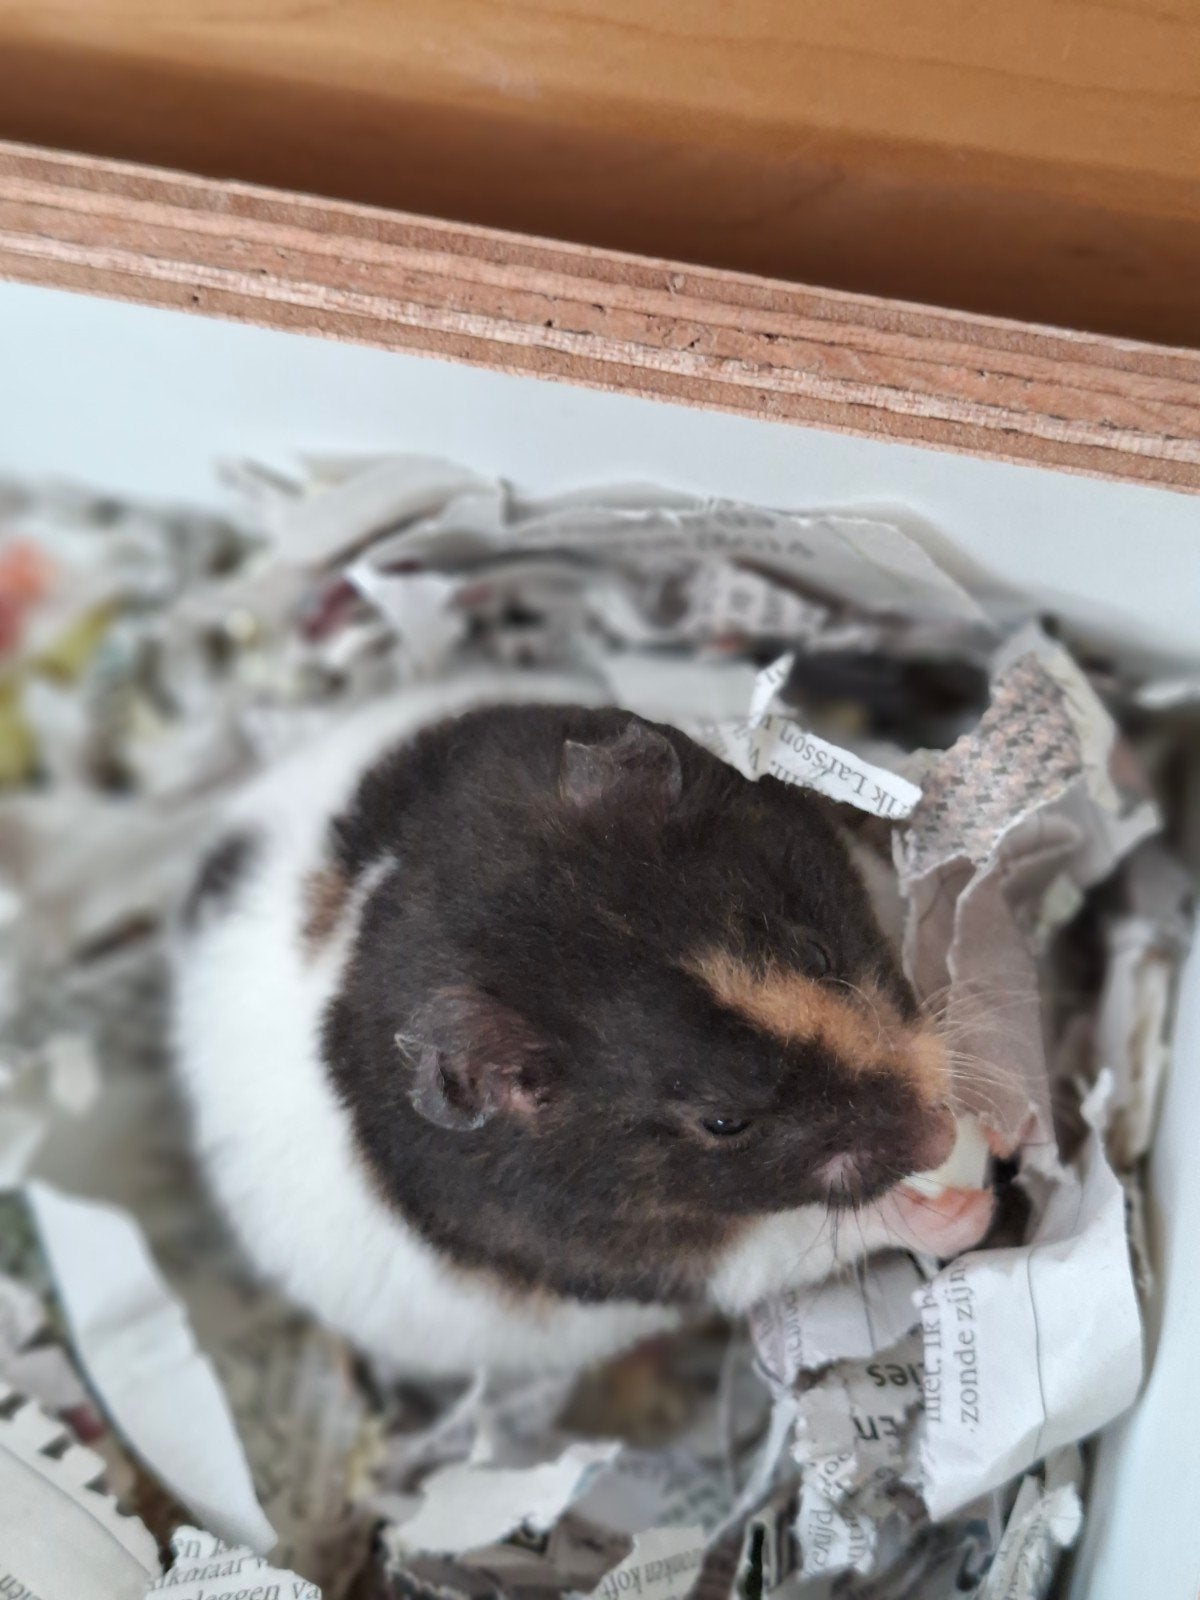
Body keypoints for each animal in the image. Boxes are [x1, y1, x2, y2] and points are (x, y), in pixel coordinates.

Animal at [172, 671, 993, 1377]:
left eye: (814, 950)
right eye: (723, 1123)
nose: (938, 1136)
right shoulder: (660, 1262)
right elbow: (801, 1236)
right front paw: (965, 1204)